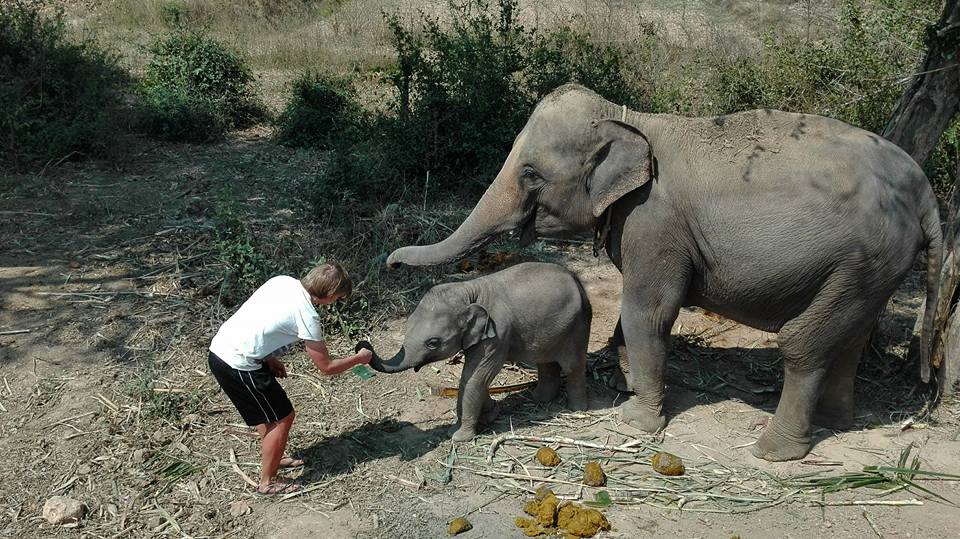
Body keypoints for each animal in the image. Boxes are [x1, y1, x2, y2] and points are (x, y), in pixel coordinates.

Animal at [366, 262, 592, 442]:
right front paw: (490, 415)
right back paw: (540, 399)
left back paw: (577, 409)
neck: (469, 290)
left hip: (578, 325)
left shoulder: (498, 335)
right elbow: (476, 377)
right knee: (546, 362)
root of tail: (576, 279)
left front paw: (457, 436)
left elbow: (475, 377)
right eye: (407, 325)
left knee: (573, 366)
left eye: (433, 343)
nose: (364, 345)